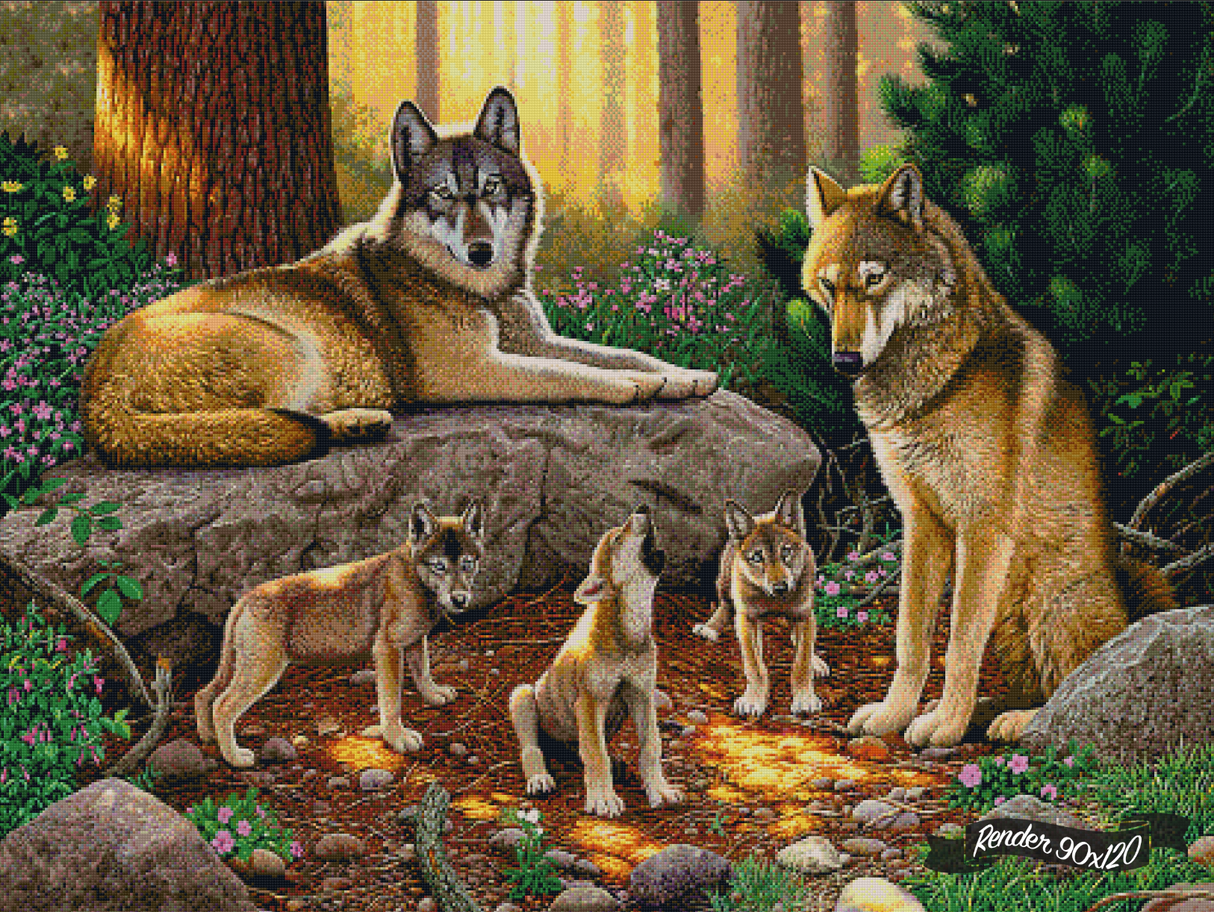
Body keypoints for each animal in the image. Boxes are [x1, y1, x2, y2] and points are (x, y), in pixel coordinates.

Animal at [81, 87, 717, 468]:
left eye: (490, 188)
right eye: (443, 194)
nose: (482, 251)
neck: (479, 292)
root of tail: (94, 395)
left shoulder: (535, 340)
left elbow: (625, 353)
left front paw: (682, 377)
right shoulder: (472, 370)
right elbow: (572, 374)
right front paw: (630, 389)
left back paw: (358, 424)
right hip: (287, 347)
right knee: (262, 425)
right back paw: (355, 422)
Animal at [195, 500, 483, 767]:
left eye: (467, 564)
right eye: (439, 566)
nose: (460, 599)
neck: (415, 576)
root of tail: (246, 597)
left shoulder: (413, 641)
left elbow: (423, 672)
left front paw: (434, 695)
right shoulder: (387, 648)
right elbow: (392, 702)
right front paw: (397, 738)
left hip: (240, 666)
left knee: (203, 694)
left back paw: (208, 737)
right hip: (262, 669)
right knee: (222, 706)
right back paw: (235, 758)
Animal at [509, 505, 682, 817]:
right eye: (617, 539)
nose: (643, 507)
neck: (629, 637)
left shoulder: (642, 694)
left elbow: (651, 746)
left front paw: (659, 790)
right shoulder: (590, 702)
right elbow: (595, 753)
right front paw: (603, 799)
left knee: (579, 751)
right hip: (523, 697)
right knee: (533, 749)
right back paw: (540, 778)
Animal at [692, 491, 829, 718]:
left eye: (785, 552)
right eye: (757, 557)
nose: (780, 587)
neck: (774, 600)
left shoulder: (803, 615)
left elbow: (801, 662)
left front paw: (804, 698)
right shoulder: (747, 619)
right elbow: (755, 666)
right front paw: (754, 700)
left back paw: (816, 661)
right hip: (725, 585)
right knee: (724, 607)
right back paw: (709, 629)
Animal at [802, 163, 1174, 748]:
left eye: (874, 278)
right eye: (828, 284)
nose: (844, 360)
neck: (934, 383)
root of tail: (1128, 615)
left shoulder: (982, 528)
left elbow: (957, 645)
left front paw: (944, 727)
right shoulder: (922, 521)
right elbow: (912, 639)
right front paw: (894, 716)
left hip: (1050, 600)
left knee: (1073, 686)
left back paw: (1015, 721)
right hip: (1008, 615)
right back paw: (993, 712)